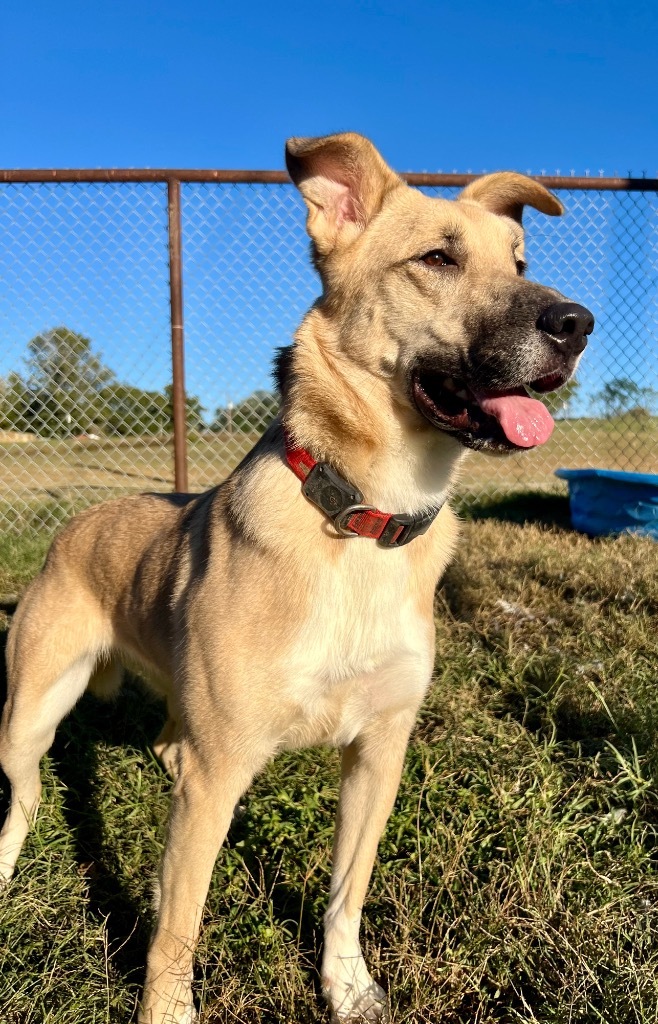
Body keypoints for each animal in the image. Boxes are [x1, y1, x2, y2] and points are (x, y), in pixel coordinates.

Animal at [0, 132, 593, 1019]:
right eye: (438, 258)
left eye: (522, 261)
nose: (577, 322)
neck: (362, 523)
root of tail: (76, 522)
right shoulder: (216, 776)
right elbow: (179, 926)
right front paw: (167, 1009)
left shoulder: (380, 751)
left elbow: (349, 890)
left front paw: (347, 987)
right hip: (31, 712)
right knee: (25, 798)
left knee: (158, 750)